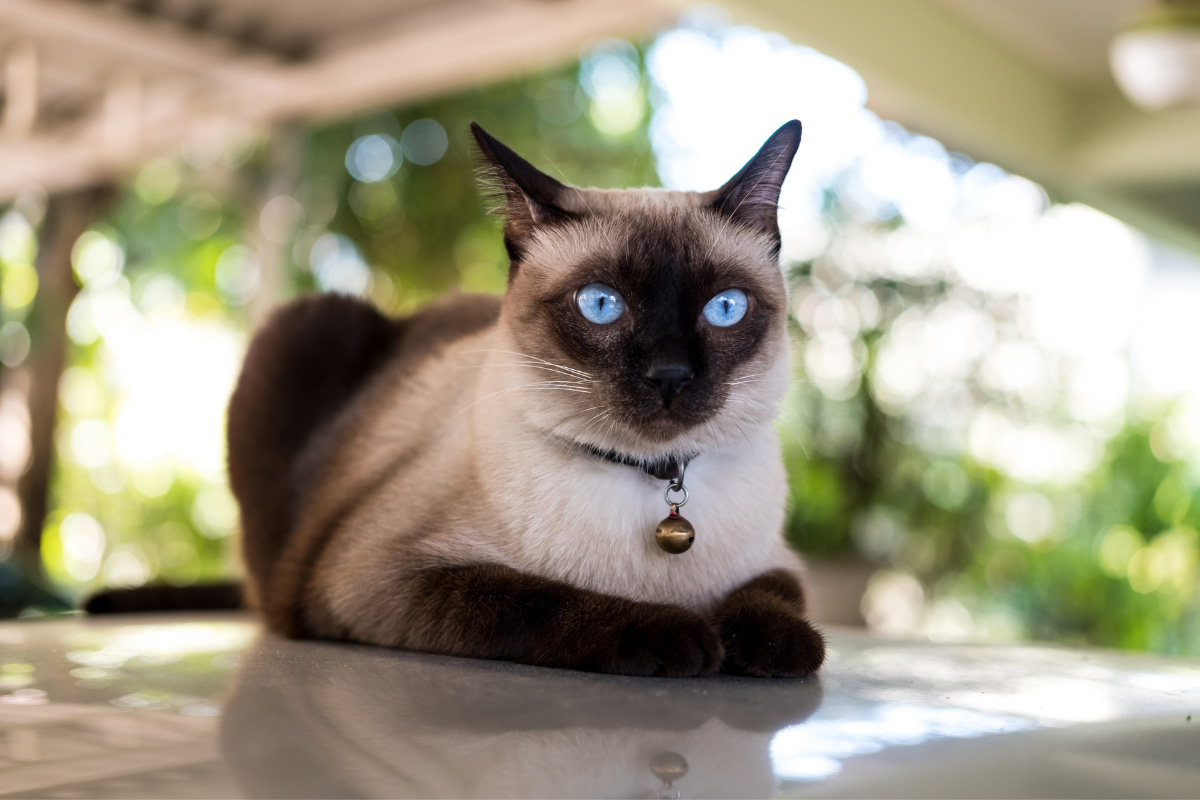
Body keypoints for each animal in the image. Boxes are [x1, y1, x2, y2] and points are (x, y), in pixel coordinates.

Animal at [225, 118, 825, 681]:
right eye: (601, 303)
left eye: (725, 307)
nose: (670, 375)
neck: (653, 481)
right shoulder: (376, 577)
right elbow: (538, 599)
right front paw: (682, 636)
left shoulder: (781, 560)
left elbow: (773, 595)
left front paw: (776, 646)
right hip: (306, 326)